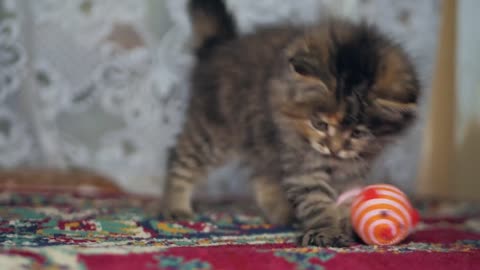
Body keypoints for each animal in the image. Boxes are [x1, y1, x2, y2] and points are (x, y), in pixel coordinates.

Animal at [163, 0, 418, 247]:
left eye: (357, 133)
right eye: (320, 125)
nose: (334, 149)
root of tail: (221, 45)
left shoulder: (353, 169)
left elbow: (347, 200)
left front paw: (347, 224)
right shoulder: (302, 160)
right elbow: (316, 201)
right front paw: (326, 231)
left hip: (258, 138)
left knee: (261, 177)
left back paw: (282, 214)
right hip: (213, 131)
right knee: (180, 158)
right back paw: (176, 207)